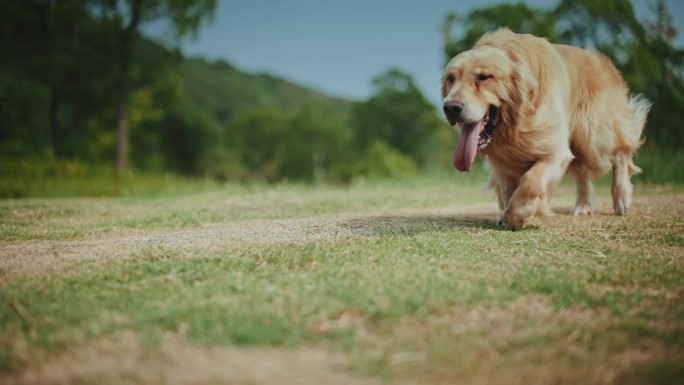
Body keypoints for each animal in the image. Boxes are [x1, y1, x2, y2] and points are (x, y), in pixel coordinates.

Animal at [444, 29, 652, 231]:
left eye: (484, 77)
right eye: (450, 79)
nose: (450, 108)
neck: (516, 124)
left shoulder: (555, 150)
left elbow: (531, 181)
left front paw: (517, 215)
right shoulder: (502, 162)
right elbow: (507, 187)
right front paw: (507, 214)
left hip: (593, 133)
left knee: (620, 154)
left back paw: (622, 197)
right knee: (583, 173)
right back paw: (583, 206)